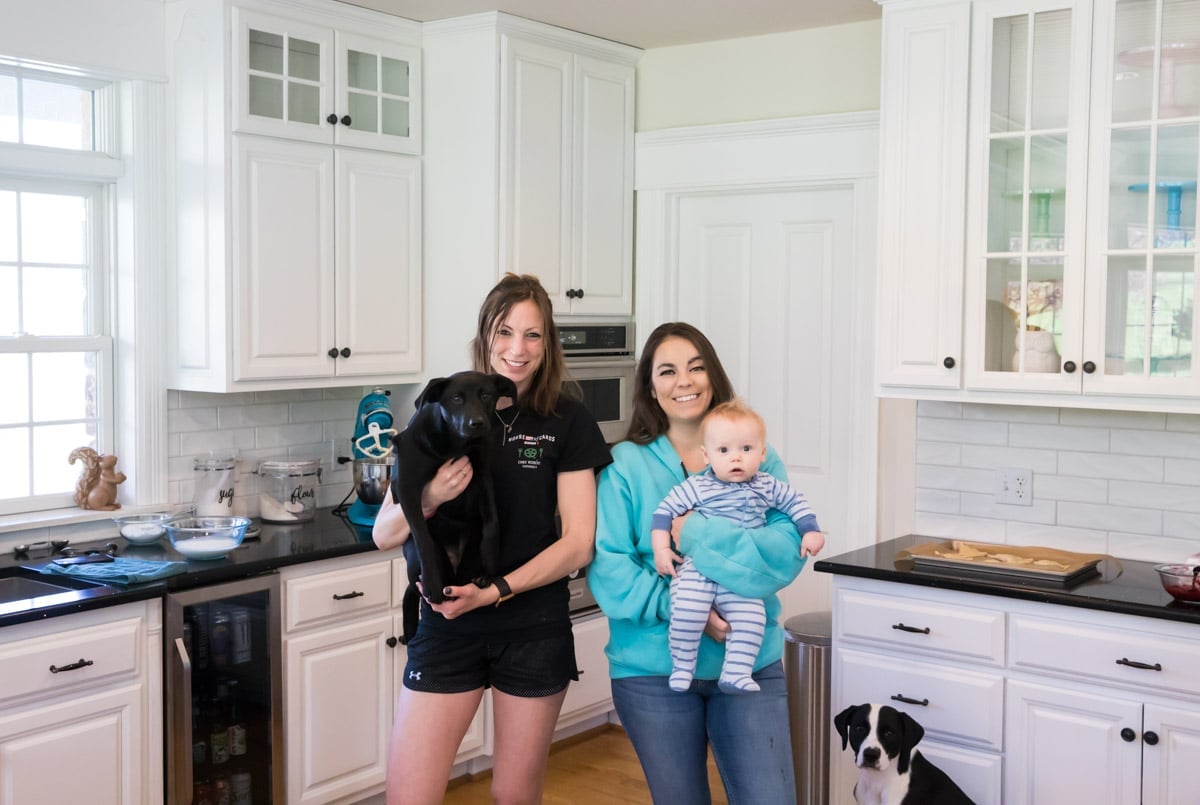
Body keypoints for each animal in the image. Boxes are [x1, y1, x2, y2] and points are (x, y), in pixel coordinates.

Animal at [386, 369, 513, 643]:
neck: (455, 444)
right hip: (413, 558)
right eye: (456, 398)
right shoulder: (407, 488)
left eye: (486, 395)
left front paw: (490, 564)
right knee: (414, 587)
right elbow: (423, 539)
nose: (477, 424)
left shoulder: (483, 476)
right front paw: (433, 585)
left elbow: (492, 522)